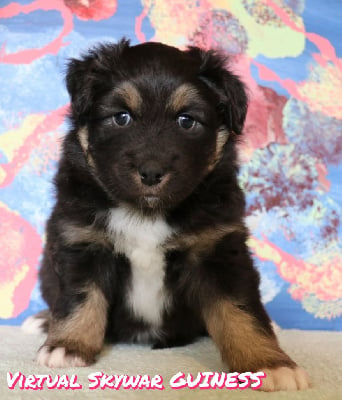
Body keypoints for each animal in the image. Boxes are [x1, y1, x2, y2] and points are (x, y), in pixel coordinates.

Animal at [24, 39, 310, 390]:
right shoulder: (83, 242)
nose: (151, 172)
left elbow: (240, 310)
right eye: (121, 117)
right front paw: (68, 346)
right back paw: (42, 321)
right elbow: (81, 299)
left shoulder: (218, 248)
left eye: (186, 121)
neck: (146, 214)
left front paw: (268, 364)